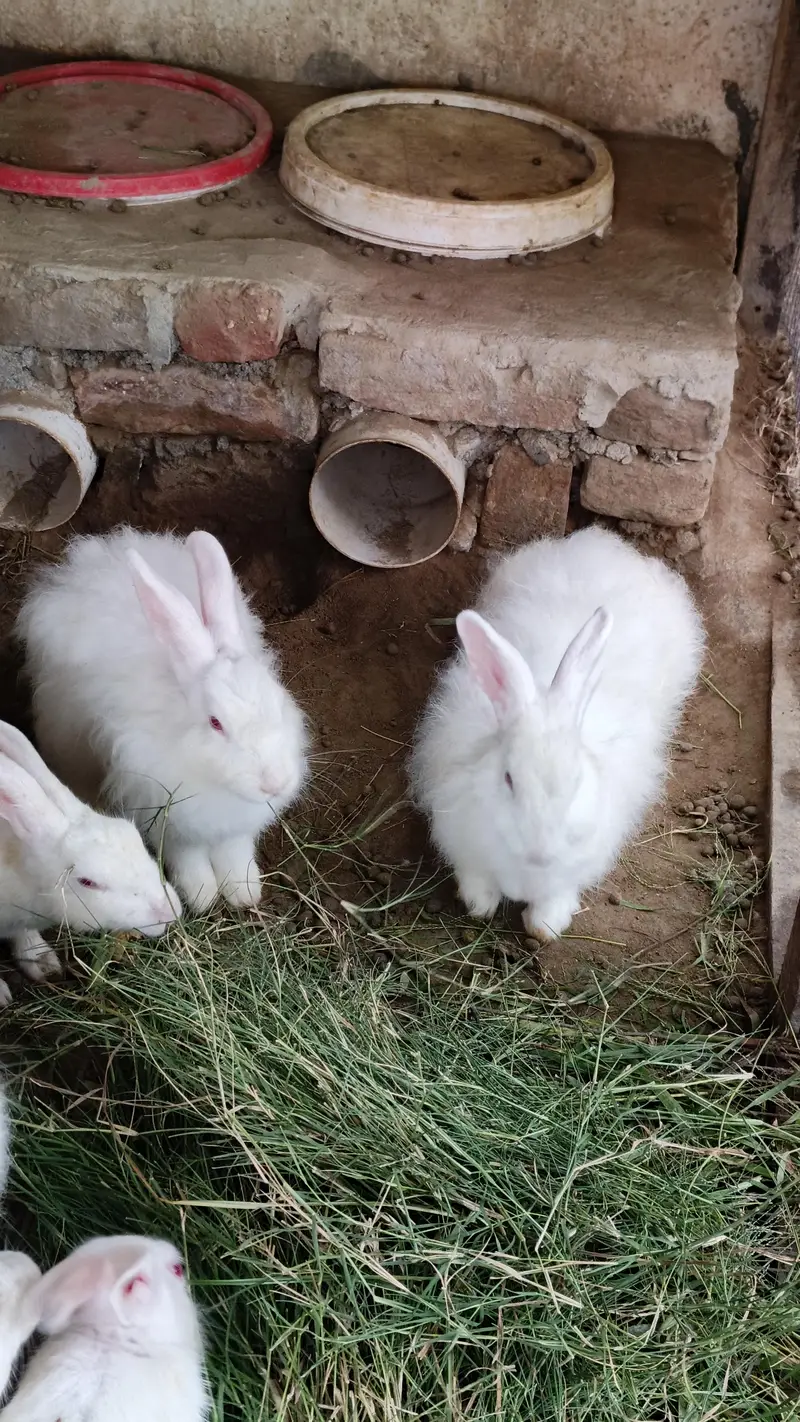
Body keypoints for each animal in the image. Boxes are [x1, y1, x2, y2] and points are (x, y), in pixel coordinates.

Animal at [17, 528, 310, 912]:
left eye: (278, 700)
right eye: (216, 723)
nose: (275, 783)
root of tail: (93, 558)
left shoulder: (235, 830)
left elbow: (235, 853)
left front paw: (244, 892)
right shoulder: (170, 826)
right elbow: (189, 860)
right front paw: (202, 897)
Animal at [411, 526, 705, 941]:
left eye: (577, 780)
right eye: (508, 779)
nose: (540, 852)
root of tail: (607, 546)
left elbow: (550, 911)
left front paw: (544, 926)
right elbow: (477, 887)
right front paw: (481, 905)